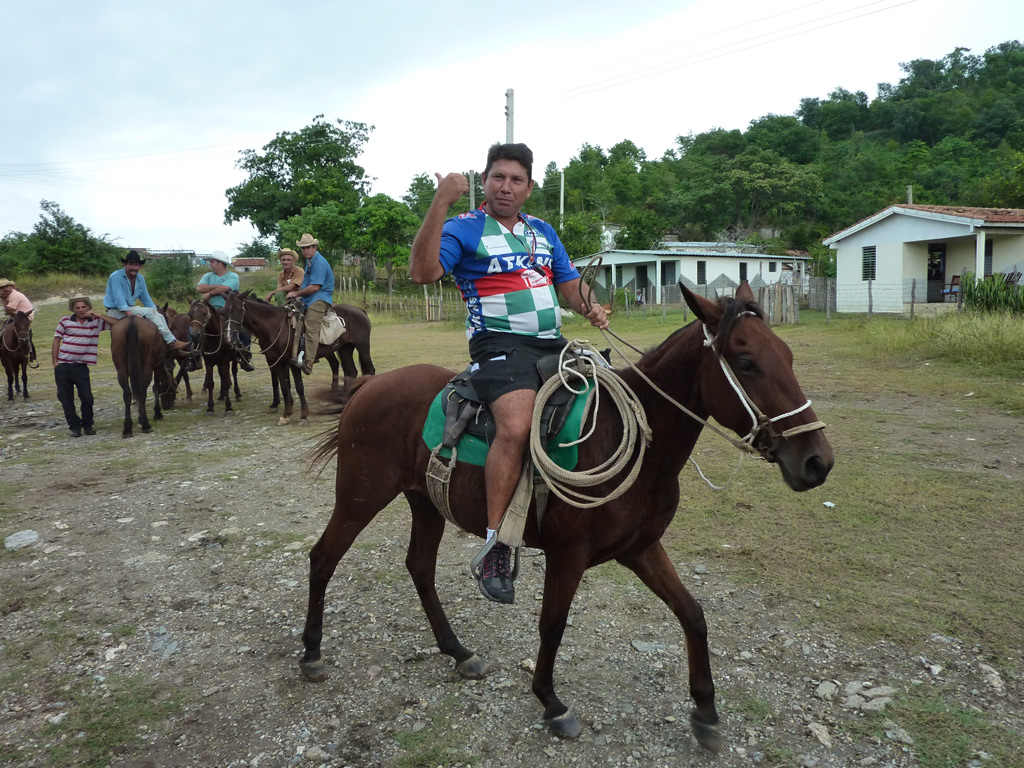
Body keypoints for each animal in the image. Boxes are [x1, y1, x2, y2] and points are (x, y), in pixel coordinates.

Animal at [299, 282, 834, 751]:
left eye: (787, 356)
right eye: (746, 363)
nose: (817, 462)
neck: (638, 444)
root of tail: (370, 385)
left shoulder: (640, 549)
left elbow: (693, 614)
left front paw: (705, 710)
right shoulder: (568, 555)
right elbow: (552, 625)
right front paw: (551, 702)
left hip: (426, 503)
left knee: (419, 568)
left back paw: (458, 651)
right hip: (359, 498)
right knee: (323, 558)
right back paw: (311, 653)